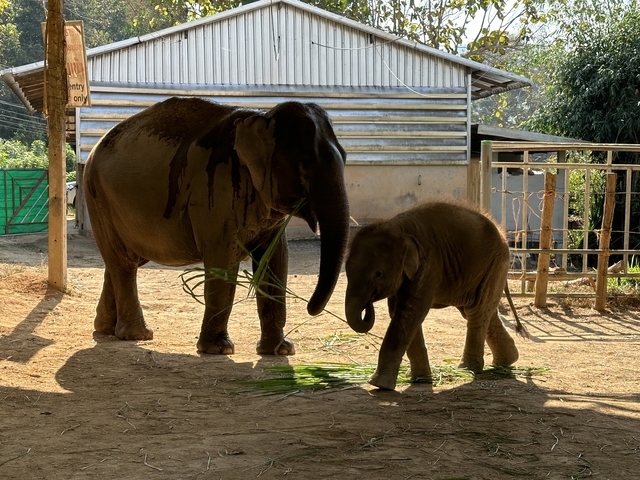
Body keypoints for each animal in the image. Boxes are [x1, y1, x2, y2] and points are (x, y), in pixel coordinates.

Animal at [84, 97, 350, 355]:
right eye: (306, 162)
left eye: (345, 157)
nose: (310, 308)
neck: (262, 117)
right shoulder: (216, 191)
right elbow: (223, 260)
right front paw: (218, 349)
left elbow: (275, 259)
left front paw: (280, 350)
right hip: (97, 196)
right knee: (123, 263)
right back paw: (137, 335)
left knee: (122, 260)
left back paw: (107, 329)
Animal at [344, 200, 528, 390]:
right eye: (347, 271)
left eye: (378, 274)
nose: (367, 305)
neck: (397, 227)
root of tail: (502, 235)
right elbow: (399, 311)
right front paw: (418, 378)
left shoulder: (429, 266)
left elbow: (409, 311)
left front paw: (379, 384)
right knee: (479, 310)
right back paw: (507, 361)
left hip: (494, 264)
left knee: (476, 310)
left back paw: (468, 369)